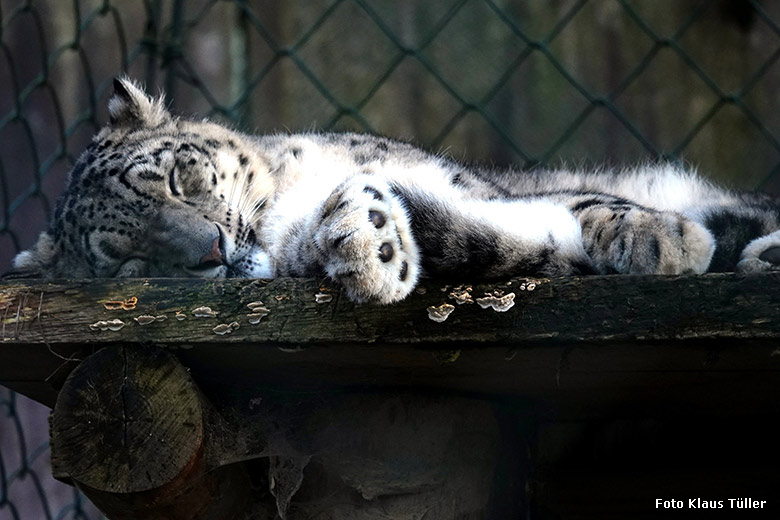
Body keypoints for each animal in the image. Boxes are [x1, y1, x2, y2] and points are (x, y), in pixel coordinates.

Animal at [6, 78, 780, 304]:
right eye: (130, 258)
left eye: (176, 177)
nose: (212, 251)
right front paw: (371, 246)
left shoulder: (474, 184)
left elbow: (580, 201)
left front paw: (664, 238)